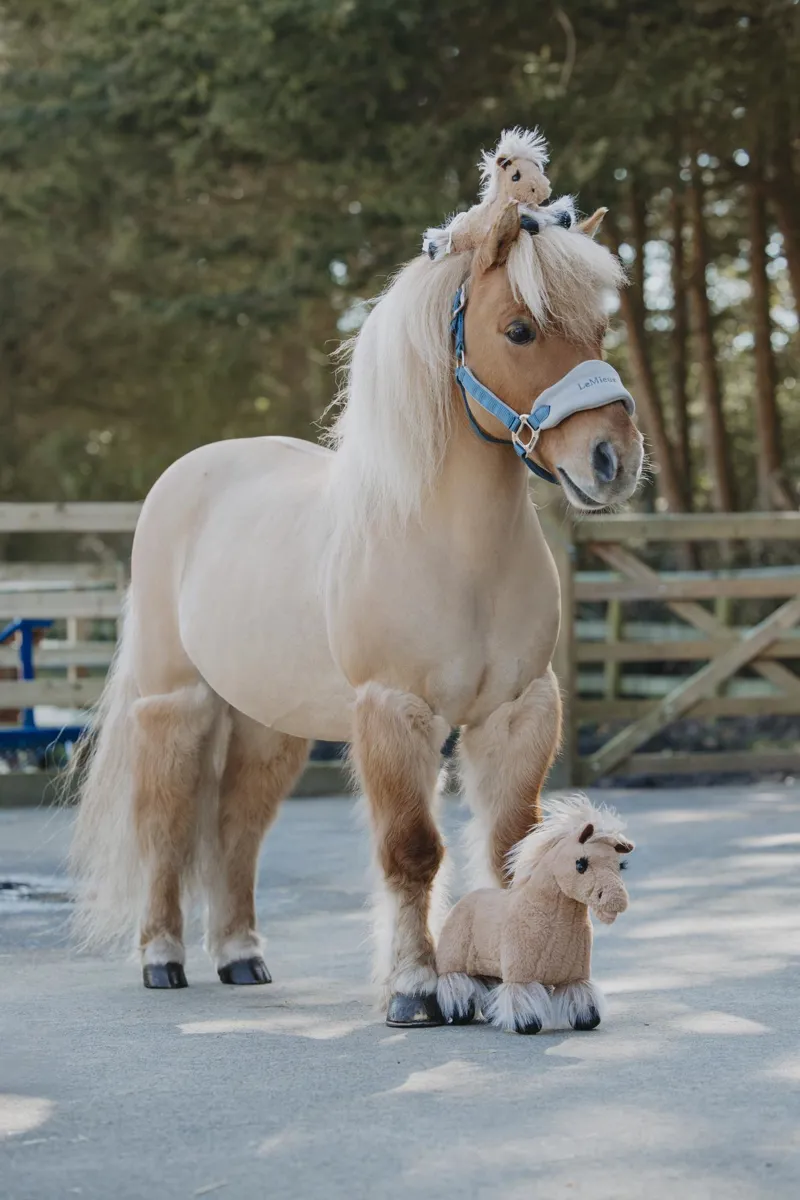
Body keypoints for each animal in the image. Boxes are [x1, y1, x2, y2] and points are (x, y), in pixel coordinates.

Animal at [69, 195, 644, 1026]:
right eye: (519, 329)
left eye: (599, 329)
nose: (613, 460)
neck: (453, 550)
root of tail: (189, 474)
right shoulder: (394, 712)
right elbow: (412, 851)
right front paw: (416, 989)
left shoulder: (517, 713)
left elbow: (512, 845)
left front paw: (519, 988)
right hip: (174, 705)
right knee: (166, 825)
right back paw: (162, 959)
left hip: (270, 725)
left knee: (237, 827)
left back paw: (241, 958)